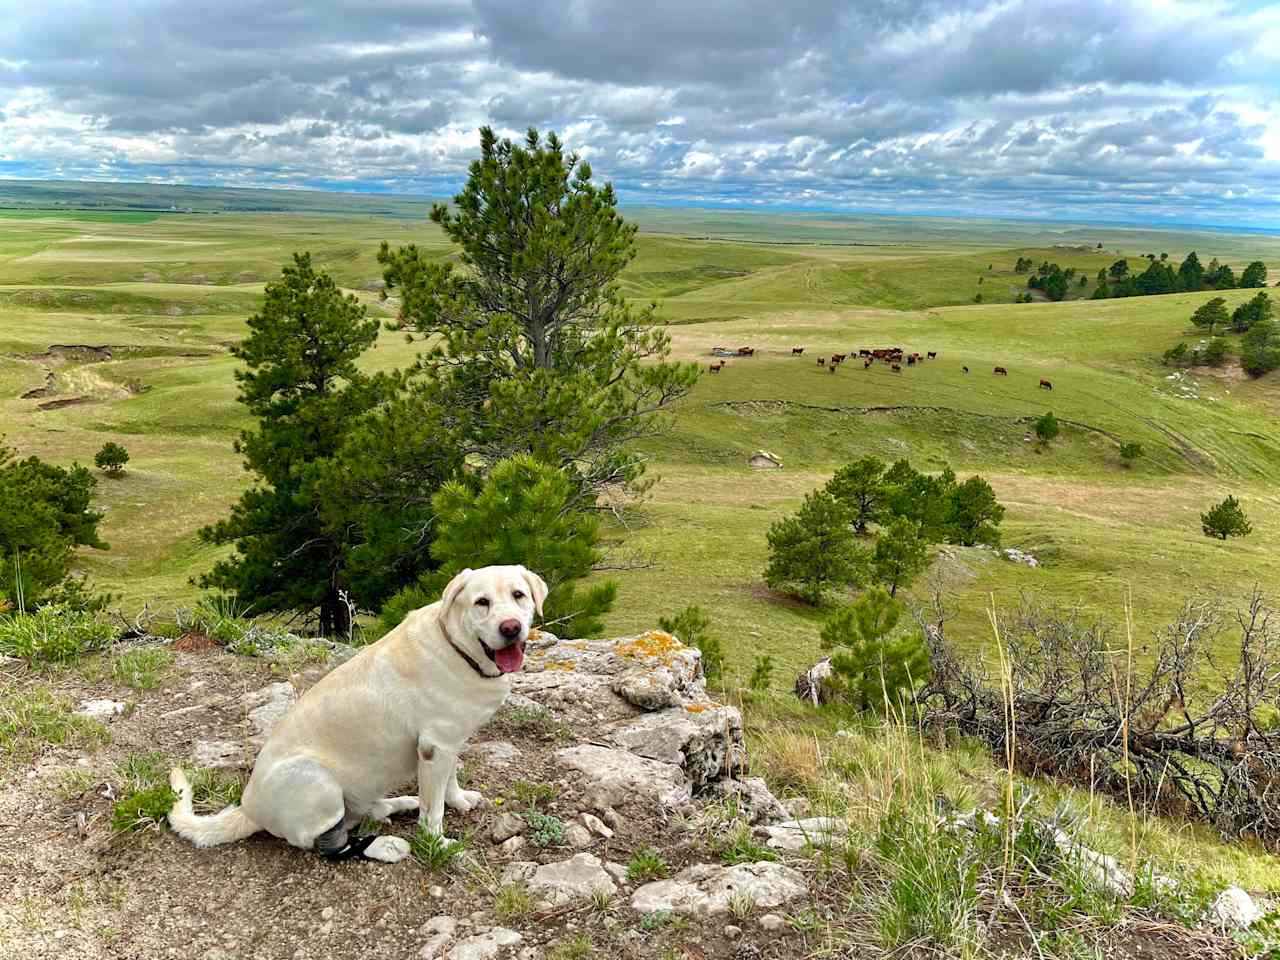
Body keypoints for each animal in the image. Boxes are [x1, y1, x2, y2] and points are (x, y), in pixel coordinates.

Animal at [168, 563, 545, 865]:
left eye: (518, 595)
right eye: (482, 603)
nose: (511, 627)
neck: (457, 648)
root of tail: (247, 808)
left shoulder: (447, 744)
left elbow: (448, 783)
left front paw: (459, 800)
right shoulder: (435, 747)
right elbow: (434, 811)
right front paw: (437, 843)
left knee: (366, 811)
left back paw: (400, 804)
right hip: (317, 780)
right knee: (329, 844)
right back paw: (386, 846)